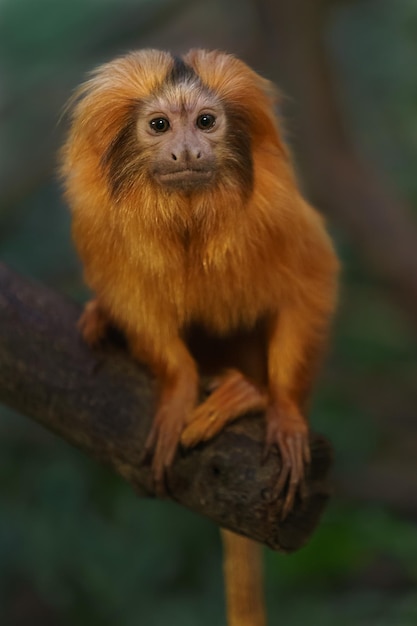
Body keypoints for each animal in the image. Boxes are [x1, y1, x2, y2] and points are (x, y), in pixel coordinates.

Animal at [61, 48, 338, 624]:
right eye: (159, 125)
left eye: (206, 121)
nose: (187, 149)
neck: (188, 213)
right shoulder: (100, 228)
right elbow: (139, 309)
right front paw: (177, 394)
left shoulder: (275, 212)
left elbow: (311, 285)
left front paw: (284, 412)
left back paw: (246, 392)